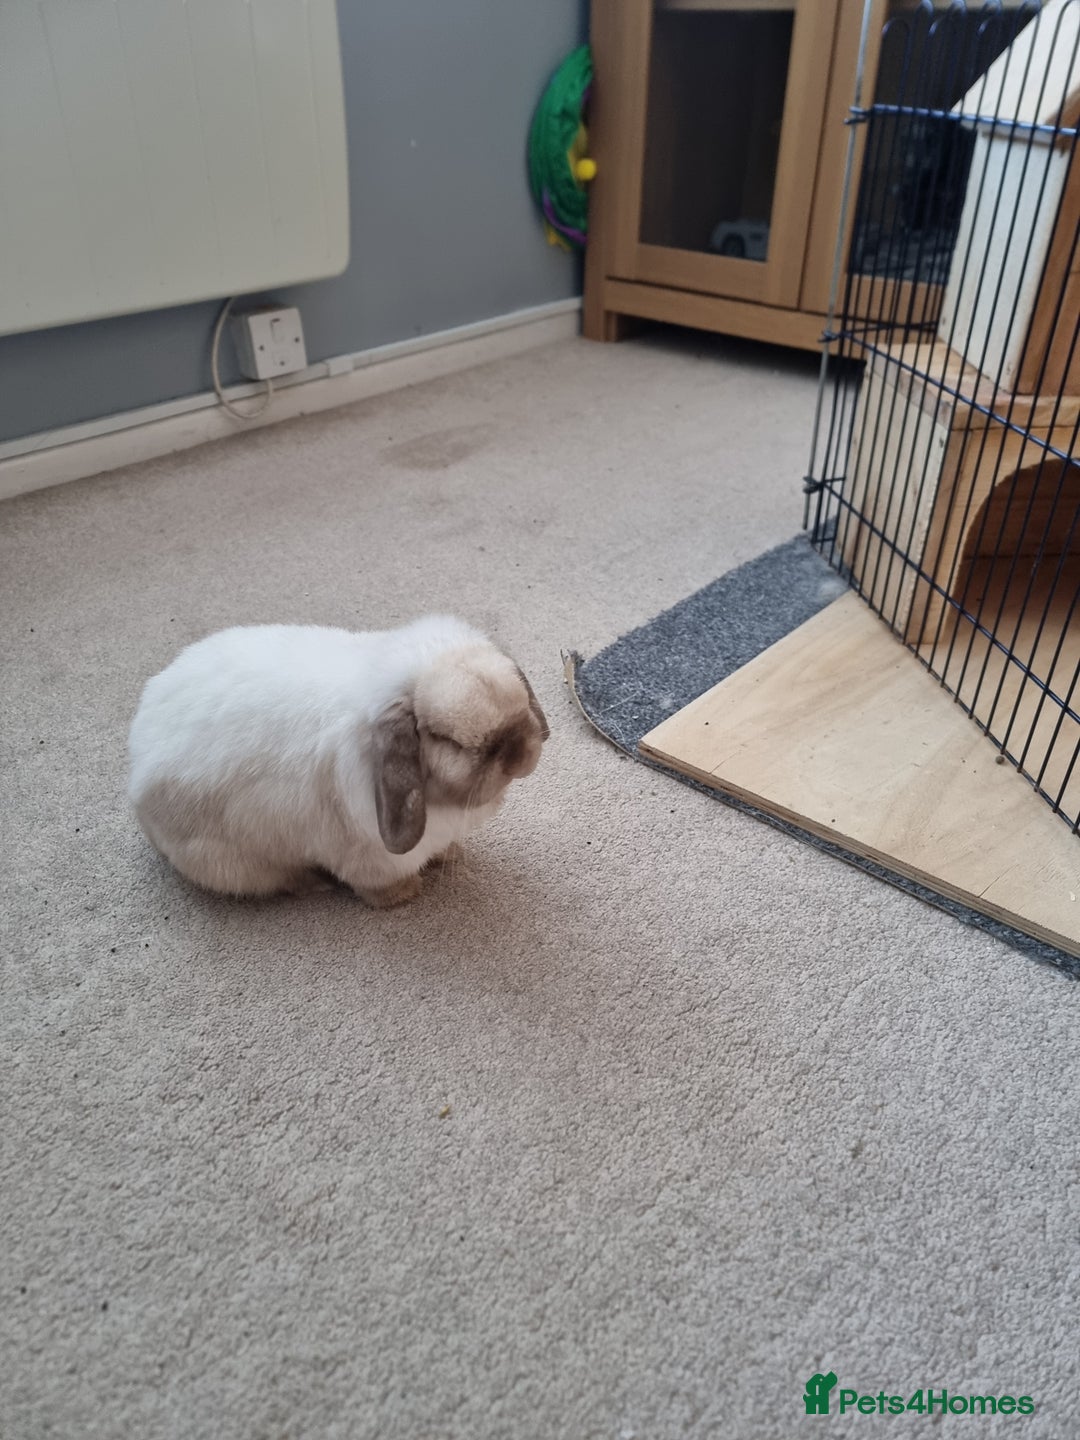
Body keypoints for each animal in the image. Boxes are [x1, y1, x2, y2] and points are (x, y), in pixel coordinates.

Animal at [127, 614, 549, 905]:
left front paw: (452, 855)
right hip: (234, 862)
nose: (518, 753)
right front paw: (405, 894)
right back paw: (315, 883)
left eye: (519, 698)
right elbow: (379, 884)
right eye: (447, 740)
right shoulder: (368, 857)